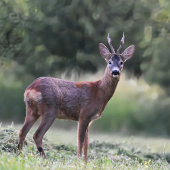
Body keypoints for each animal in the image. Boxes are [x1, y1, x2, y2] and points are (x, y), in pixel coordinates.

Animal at [17, 33, 134, 162]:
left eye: (121, 62)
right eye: (109, 62)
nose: (115, 72)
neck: (99, 92)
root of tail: (30, 89)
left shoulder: (89, 119)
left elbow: (86, 144)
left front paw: (85, 163)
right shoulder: (84, 114)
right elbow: (80, 142)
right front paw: (78, 162)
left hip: (32, 110)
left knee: (22, 132)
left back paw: (20, 156)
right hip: (50, 110)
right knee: (37, 135)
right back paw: (44, 159)